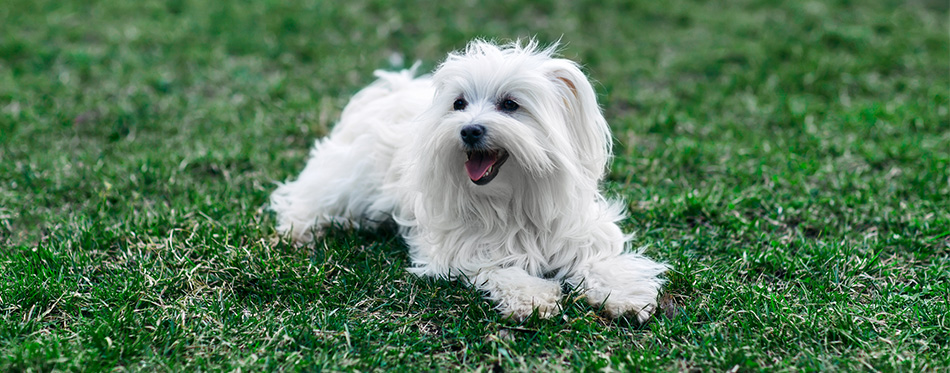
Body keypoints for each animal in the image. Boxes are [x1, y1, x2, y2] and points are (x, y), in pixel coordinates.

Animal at [268, 39, 668, 322]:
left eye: (510, 104)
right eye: (459, 103)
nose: (469, 130)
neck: (515, 198)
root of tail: (392, 89)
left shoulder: (580, 232)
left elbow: (603, 262)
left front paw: (626, 296)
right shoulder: (466, 247)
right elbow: (501, 269)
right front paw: (533, 297)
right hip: (347, 181)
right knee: (307, 198)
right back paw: (298, 232)